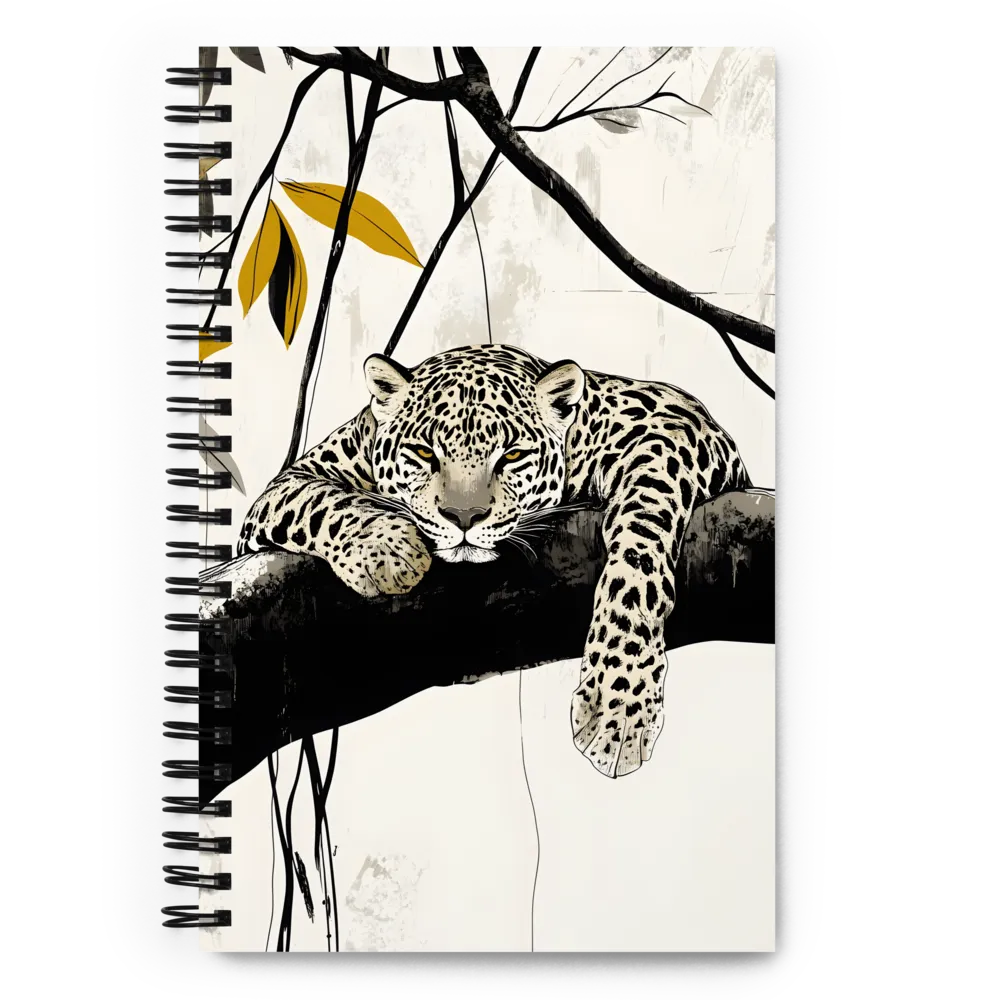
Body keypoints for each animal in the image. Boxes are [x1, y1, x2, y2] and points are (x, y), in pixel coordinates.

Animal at [237, 344, 751, 778]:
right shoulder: (286, 486)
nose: (464, 516)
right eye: (423, 452)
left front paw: (616, 705)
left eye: (513, 455)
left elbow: (640, 540)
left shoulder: (675, 421)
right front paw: (389, 550)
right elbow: (319, 502)